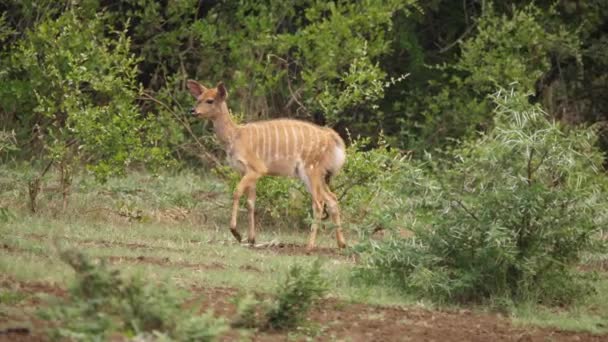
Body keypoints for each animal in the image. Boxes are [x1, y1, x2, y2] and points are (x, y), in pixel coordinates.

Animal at [185, 80, 346, 251]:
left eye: (210, 100)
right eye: (198, 99)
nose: (193, 111)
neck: (235, 137)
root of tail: (332, 137)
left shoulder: (257, 169)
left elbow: (236, 192)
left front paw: (237, 233)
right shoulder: (247, 172)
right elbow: (251, 202)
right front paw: (251, 239)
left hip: (311, 169)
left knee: (319, 203)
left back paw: (309, 246)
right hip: (316, 174)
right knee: (332, 198)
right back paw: (341, 244)